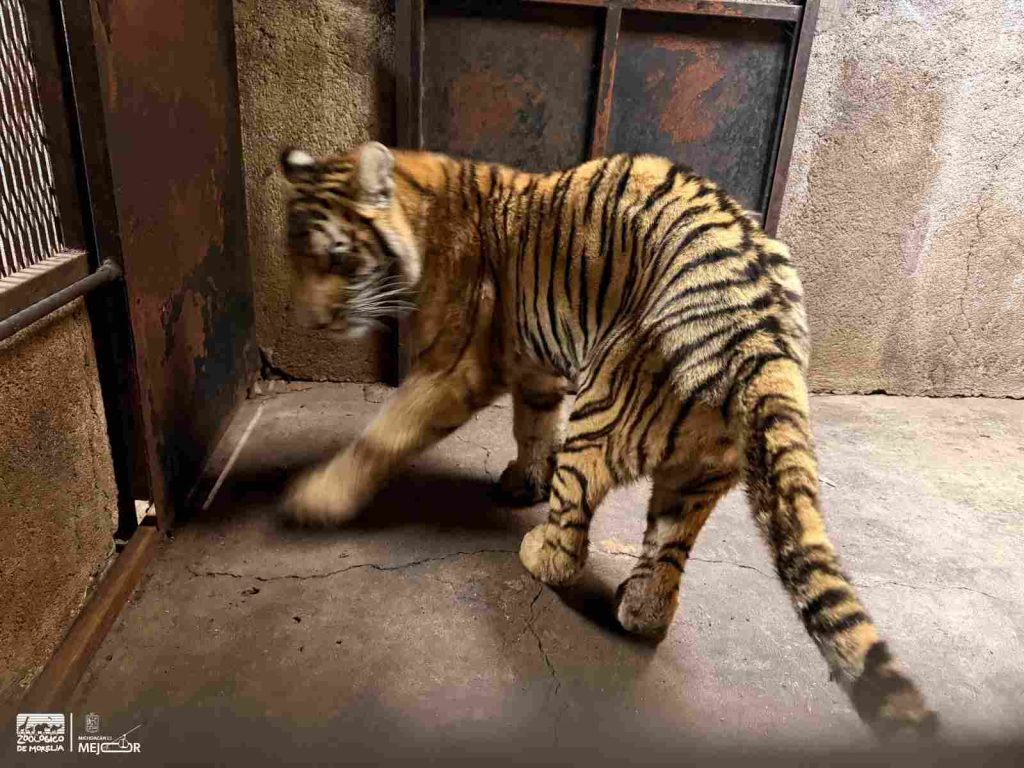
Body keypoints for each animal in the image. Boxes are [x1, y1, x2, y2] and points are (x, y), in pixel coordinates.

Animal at [278, 141, 937, 738]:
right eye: (296, 258)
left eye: (337, 258)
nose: (313, 321)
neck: (421, 211)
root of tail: (763, 333)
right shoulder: (535, 367)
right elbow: (531, 426)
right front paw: (524, 479)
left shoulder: (454, 366)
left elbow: (385, 434)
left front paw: (316, 498)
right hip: (700, 471)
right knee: (666, 551)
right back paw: (639, 610)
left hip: (600, 411)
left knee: (573, 531)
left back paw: (538, 553)